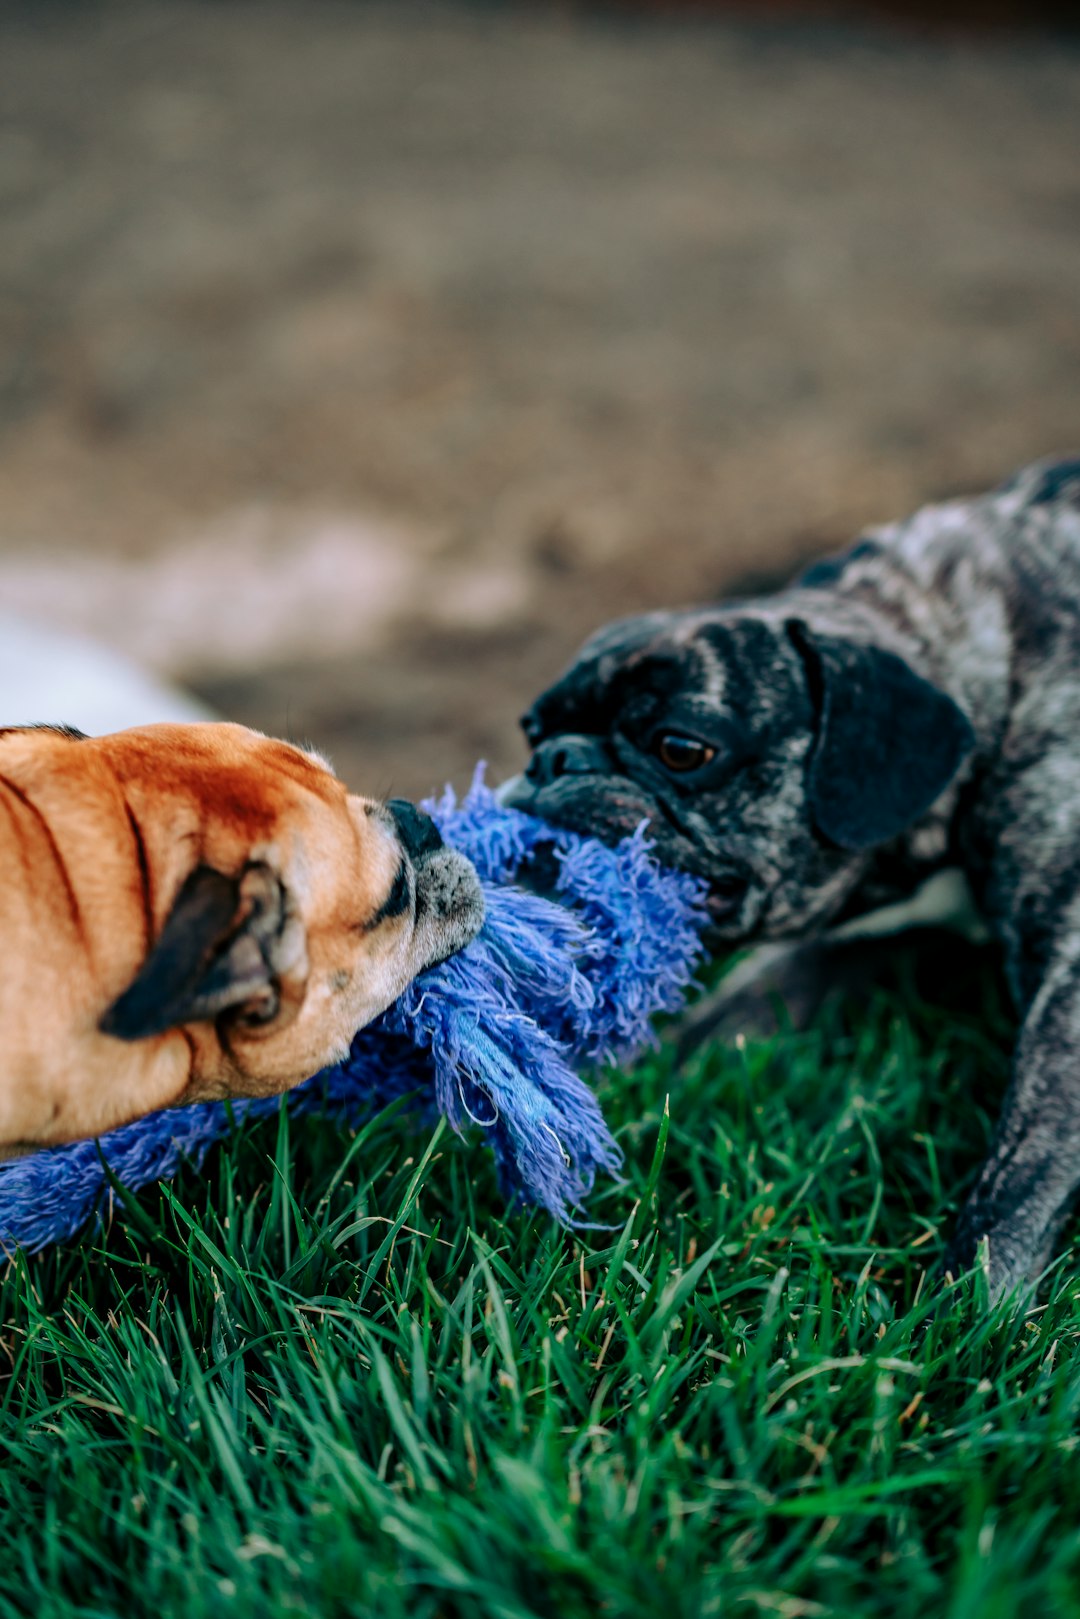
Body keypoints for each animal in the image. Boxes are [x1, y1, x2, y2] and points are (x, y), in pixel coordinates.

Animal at [511, 456, 1080, 1301]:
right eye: (533, 732)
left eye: (682, 747)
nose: (553, 760)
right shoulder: (843, 943)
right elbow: (718, 1024)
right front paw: (617, 1099)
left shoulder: (1069, 977)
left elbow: (1023, 1160)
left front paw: (970, 1301)